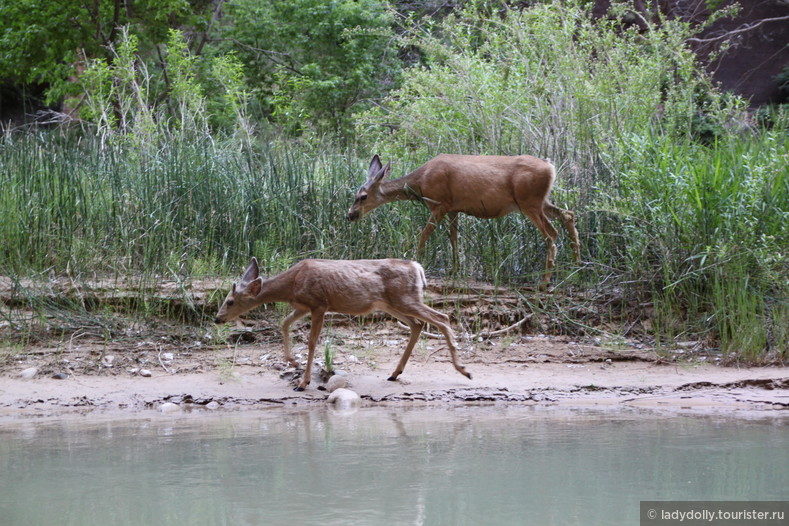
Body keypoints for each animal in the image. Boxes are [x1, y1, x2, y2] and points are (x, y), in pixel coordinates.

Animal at [212, 258, 468, 394]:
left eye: (230, 301)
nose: (217, 318)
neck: (292, 284)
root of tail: (418, 268)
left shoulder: (319, 304)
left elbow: (312, 342)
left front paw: (303, 382)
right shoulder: (303, 306)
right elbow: (283, 324)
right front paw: (292, 361)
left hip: (405, 299)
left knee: (442, 318)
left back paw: (463, 369)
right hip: (391, 303)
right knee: (417, 325)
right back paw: (394, 374)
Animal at [344, 155, 580, 290]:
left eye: (362, 196)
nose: (350, 215)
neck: (420, 182)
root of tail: (550, 167)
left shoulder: (439, 204)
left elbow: (425, 234)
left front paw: (414, 259)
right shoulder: (454, 209)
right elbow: (453, 238)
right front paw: (455, 269)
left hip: (529, 201)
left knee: (552, 234)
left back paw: (545, 282)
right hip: (541, 201)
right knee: (568, 214)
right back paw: (576, 267)